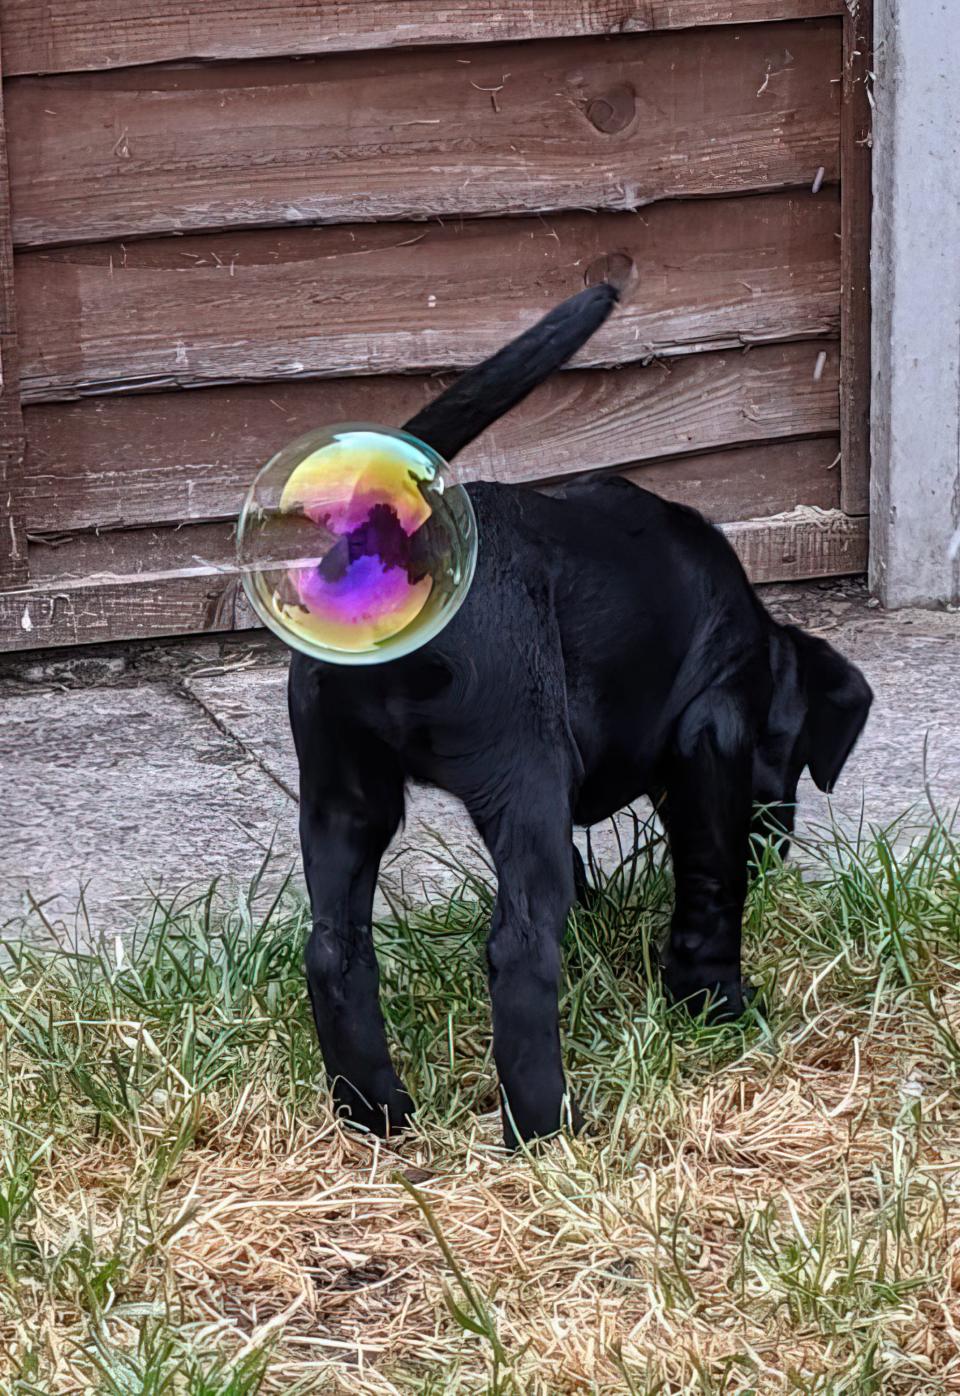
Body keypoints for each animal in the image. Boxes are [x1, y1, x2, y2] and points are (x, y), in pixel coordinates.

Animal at [283, 280, 870, 1144]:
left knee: (336, 950)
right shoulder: (712, 739)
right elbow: (712, 882)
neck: (751, 641)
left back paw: (377, 1110)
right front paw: (715, 1002)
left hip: (342, 792)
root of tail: (403, 547)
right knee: (520, 950)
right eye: (791, 754)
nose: (777, 845)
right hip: (522, 767)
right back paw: (548, 1125)